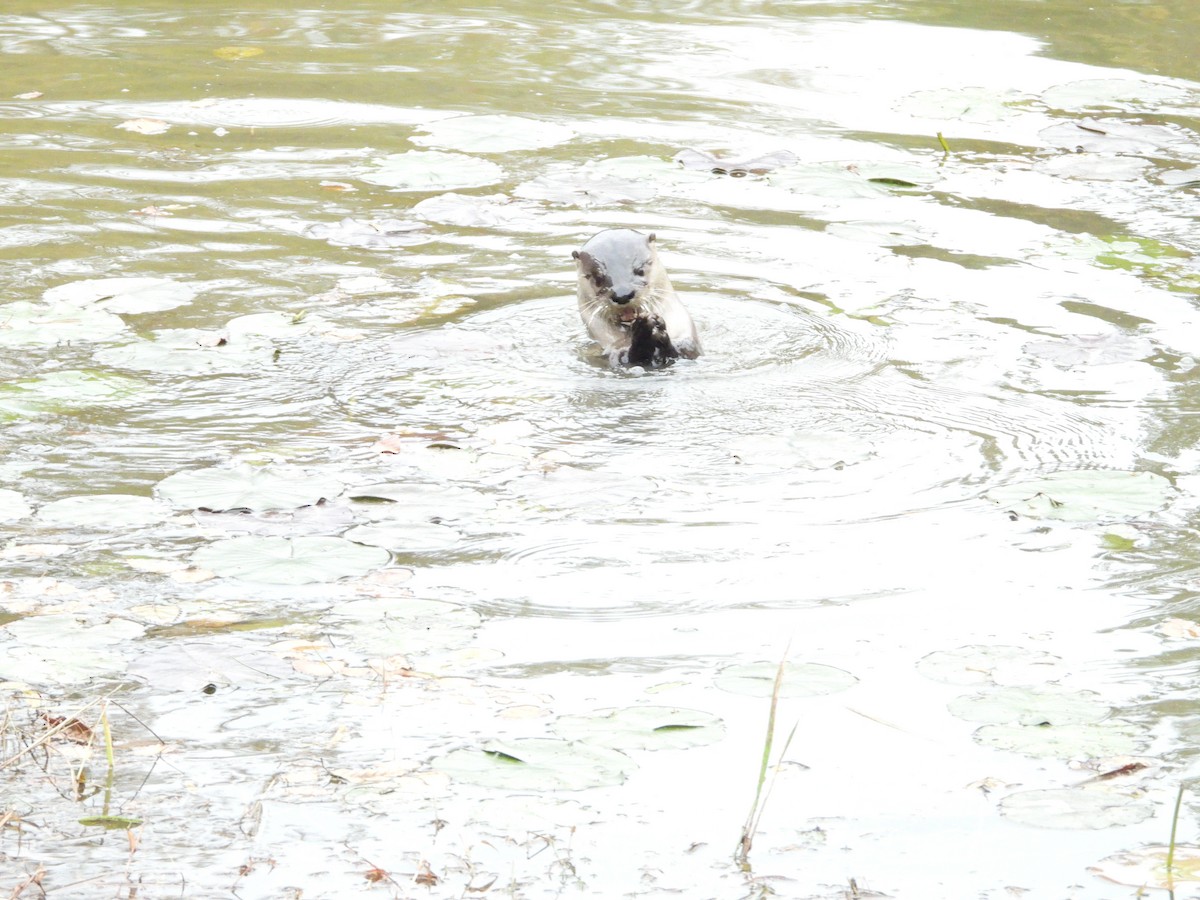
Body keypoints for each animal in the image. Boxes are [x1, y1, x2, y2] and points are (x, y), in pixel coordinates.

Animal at [572, 228, 701, 369]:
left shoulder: (686, 332)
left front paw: (658, 330)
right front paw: (642, 330)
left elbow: (688, 350)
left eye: (640, 270)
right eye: (598, 277)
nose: (622, 295)